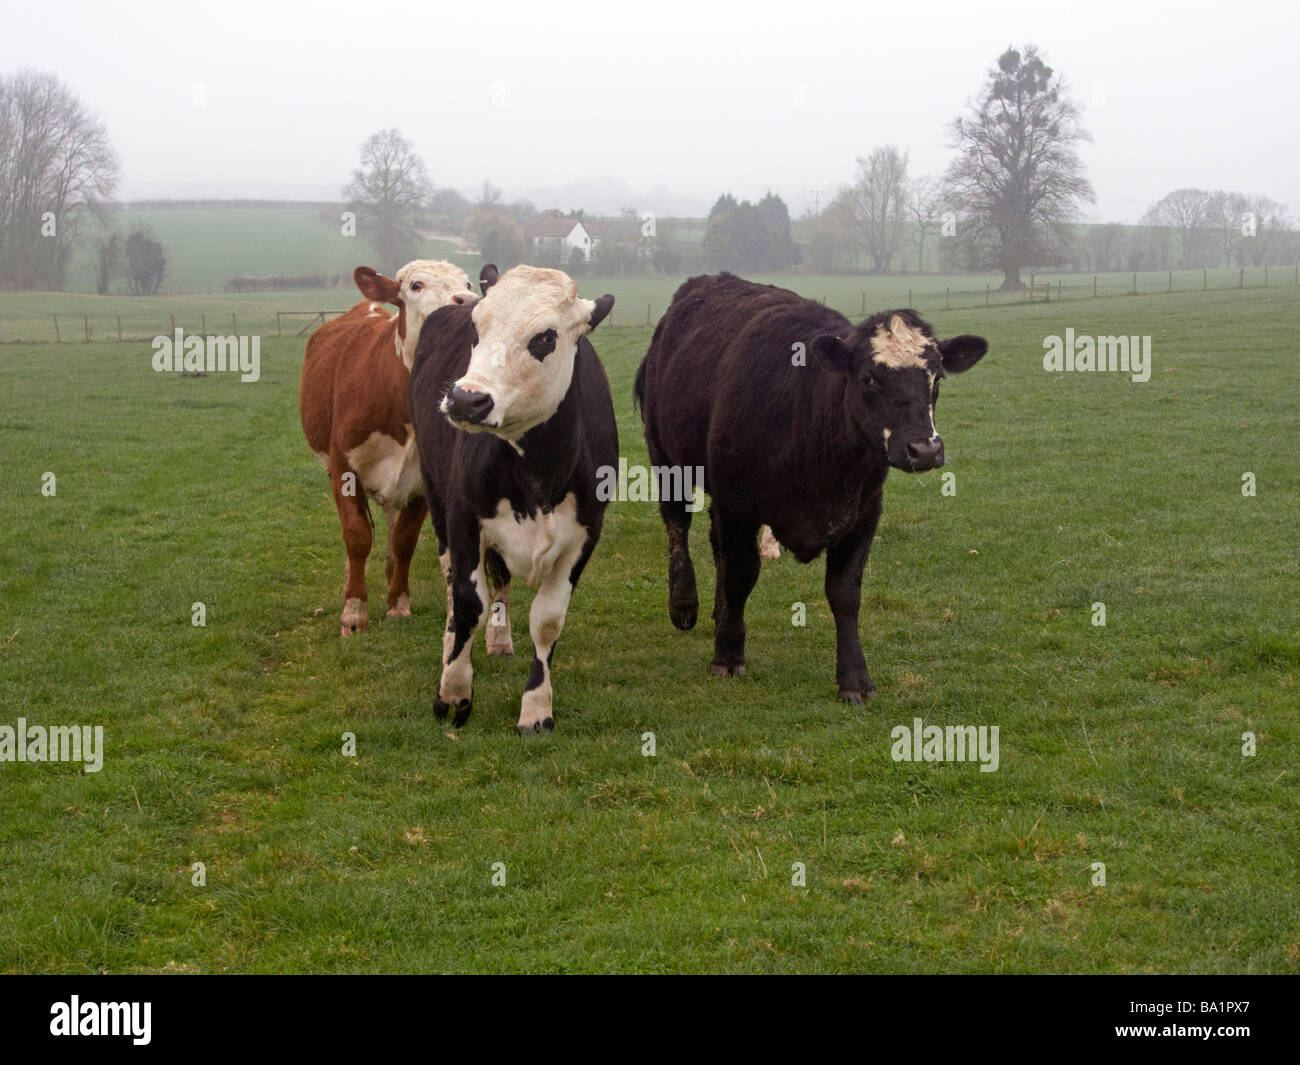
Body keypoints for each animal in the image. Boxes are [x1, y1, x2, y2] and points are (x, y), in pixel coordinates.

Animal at [301, 261, 504, 637]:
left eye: (469, 283)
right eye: (416, 285)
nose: (468, 302)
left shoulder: (422, 481)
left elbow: (404, 541)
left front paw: (397, 603)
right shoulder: (343, 466)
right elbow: (356, 536)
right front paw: (354, 612)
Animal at [408, 262, 616, 738]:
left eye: (546, 337)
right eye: (476, 327)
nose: (466, 398)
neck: (539, 470)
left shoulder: (586, 533)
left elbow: (547, 619)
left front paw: (537, 707)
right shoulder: (463, 517)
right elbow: (469, 601)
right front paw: (453, 692)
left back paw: (499, 640)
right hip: (434, 493)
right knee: (453, 584)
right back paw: (451, 645)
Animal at [631, 274, 982, 702]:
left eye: (937, 379)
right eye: (868, 377)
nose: (926, 449)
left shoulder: (865, 512)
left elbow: (845, 593)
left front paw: (854, 677)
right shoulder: (738, 504)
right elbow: (741, 575)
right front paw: (728, 654)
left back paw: (719, 613)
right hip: (666, 455)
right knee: (677, 525)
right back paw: (685, 603)